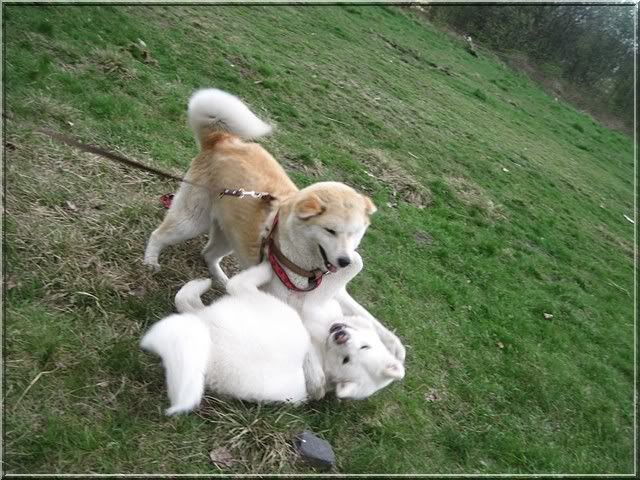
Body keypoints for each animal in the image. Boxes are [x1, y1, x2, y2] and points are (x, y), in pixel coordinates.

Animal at [140, 264, 404, 415]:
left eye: (345, 359)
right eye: (363, 347)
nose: (340, 335)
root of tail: (206, 334)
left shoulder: (313, 305)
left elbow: (350, 269)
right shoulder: (335, 303)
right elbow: (366, 315)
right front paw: (395, 345)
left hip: (269, 307)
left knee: (227, 287)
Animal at [143, 88, 405, 363]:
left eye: (355, 234)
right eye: (330, 231)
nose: (344, 261)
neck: (306, 264)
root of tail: (221, 140)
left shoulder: (337, 293)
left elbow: (371, 319)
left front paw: (395, 346)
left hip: (232, 235)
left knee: (209, 253)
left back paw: (222, 279)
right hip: (192, 221)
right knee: (159, 234)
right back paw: (150, 261)